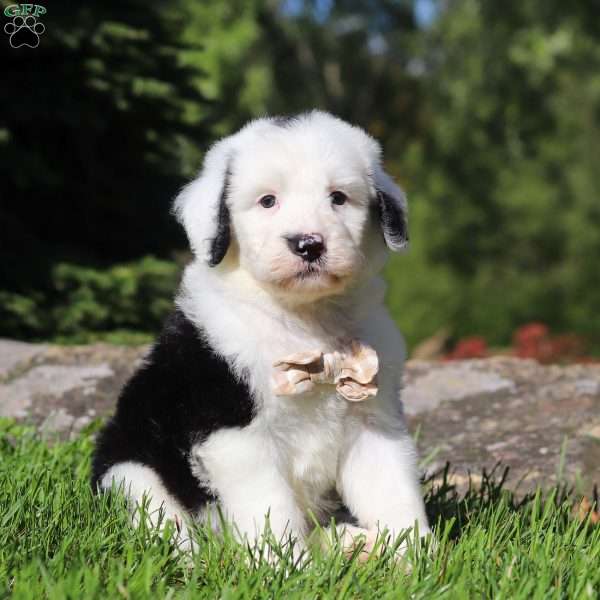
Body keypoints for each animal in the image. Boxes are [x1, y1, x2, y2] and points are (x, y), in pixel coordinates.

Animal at [91, 111, 428, 556]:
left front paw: (416, 555)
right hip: (129, 468)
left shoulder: (373, 415)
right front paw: (286, 564)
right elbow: (270, 510)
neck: (303, 322)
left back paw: (351, 544)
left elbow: (392, 489)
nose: (308, 244)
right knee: (161, 520)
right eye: (268, 201)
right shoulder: (235, 434)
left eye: (338, 198)